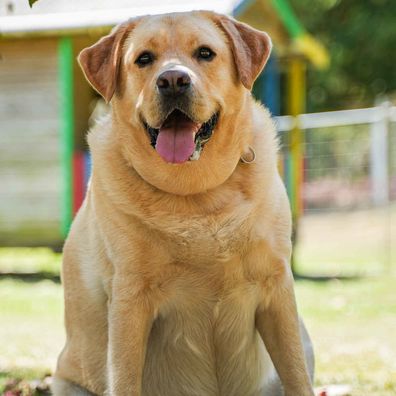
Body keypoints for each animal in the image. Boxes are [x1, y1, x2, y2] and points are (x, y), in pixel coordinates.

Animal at [51, 10, 312, 394]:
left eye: (205, 53)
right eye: (144, 58)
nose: (173, 80)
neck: (197, 194)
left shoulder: (276, 286)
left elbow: (296, 375)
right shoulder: (130, 298)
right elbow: (125, 380)